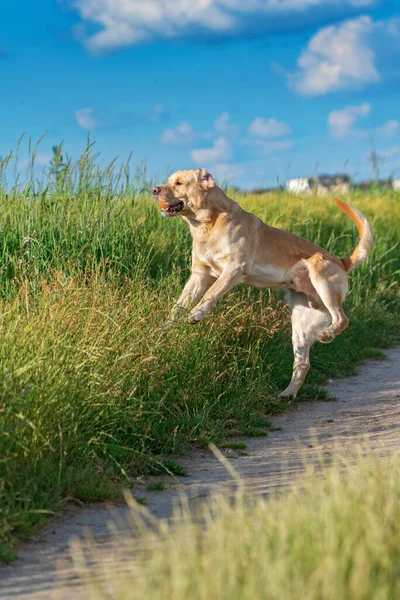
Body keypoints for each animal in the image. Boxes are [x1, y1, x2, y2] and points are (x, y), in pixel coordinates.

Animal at [152, 169, 374, 398]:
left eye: (179, 183)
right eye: (169, 181)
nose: (154, 190)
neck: (207, 224)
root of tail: (341, 261)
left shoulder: (234, 269)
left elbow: (211, 294)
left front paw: (196, 314)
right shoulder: (199, 275)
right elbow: (178, 306)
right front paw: (161, 331)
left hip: (323, 282)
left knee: (342, 319)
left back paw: (327, 334)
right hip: (301, 324)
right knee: (303, 363)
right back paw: (287, 394)